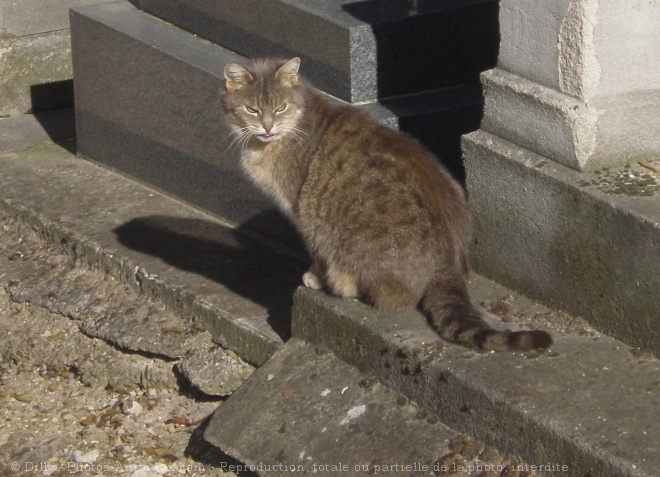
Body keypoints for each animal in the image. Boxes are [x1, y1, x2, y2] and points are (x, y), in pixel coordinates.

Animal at [222, 57, 552, 352]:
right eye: (252, 109)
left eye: (280, 108)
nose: (267, 127)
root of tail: (448, 266)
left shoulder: (301, 212)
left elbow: (315, 252)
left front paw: (314, 276)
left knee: (394, 298)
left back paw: (345, 284)